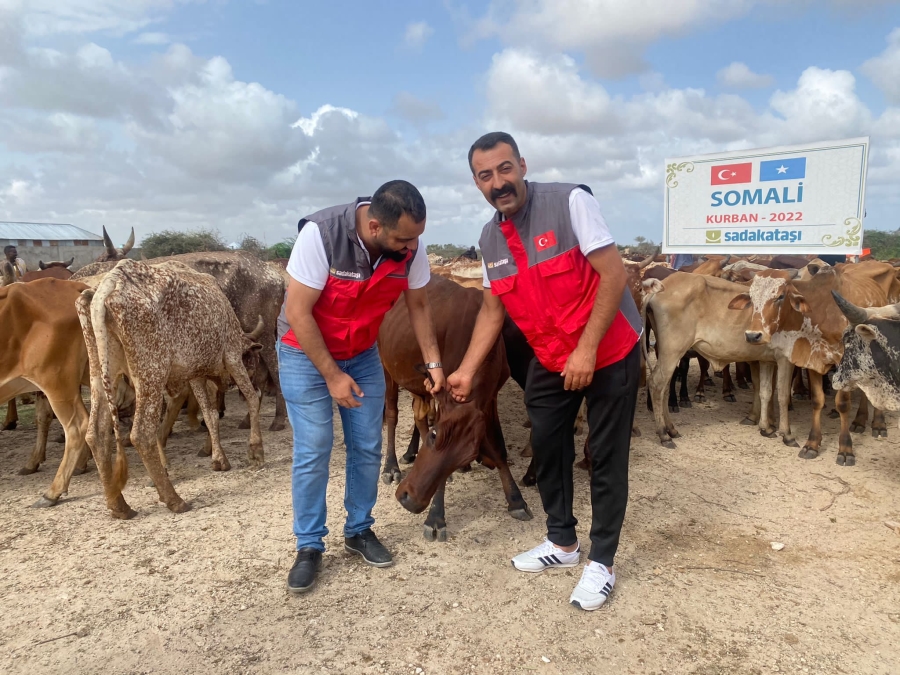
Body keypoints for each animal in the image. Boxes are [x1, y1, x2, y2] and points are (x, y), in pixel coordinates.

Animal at [76, 262, 264, 520]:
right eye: (253, 360)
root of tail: (111, 280)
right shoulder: (232, 356)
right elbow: (252, 399)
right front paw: (256, 450)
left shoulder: (195, 375)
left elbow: (210, 415)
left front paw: (219, 459)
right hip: (150, 376)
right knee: (141, 434)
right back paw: (174, 499)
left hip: (101, 374)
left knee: (95, 434)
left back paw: (119, 506)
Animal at [378, 272, 532, 540]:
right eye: (435, 436)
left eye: (467, 455)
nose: (411, 501)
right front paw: (436, 517)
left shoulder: (487, 399)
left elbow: (498, 446)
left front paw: (515, 499)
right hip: (387, 367)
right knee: (392, 414)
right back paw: (391, 465)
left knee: (419, 415)